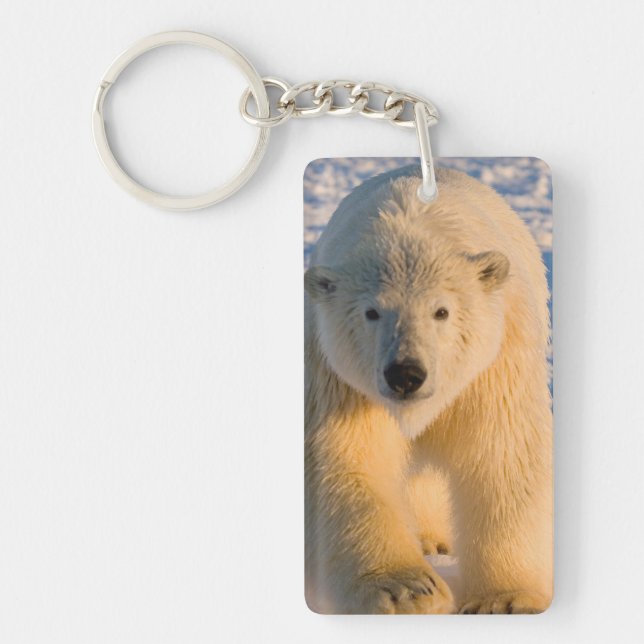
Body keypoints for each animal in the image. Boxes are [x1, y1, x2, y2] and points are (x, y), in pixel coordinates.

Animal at [304, 164, 552, 614]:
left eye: (442, 311)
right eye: (371, 312)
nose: (405, 374)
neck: (412, 222)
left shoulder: (495, 364)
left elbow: (502, 454)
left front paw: (506, 600)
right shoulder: (335, 373)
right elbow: (344, 455)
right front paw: (407, 591)